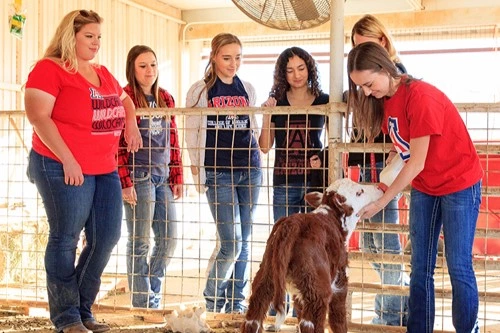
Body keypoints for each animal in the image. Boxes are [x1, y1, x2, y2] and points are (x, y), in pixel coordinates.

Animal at [242, 179, 382, 332]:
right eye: (359, 192)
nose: (378, 187)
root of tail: (292, 223)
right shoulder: (340, 283)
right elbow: (338, 321)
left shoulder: (298, 294)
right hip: (318, 291)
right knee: (310, 324)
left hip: (267, 276)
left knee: (253, 318)